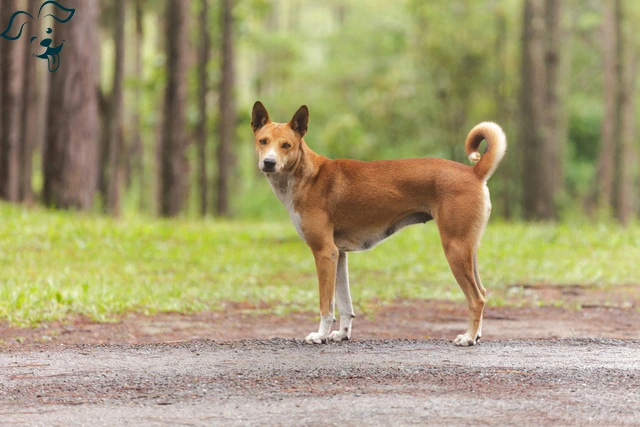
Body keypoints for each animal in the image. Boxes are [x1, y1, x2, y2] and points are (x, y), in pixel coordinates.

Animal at [250, 102, 504, 346]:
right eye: (263, 141)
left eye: (286, 145)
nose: (269, 162)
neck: (307, 176)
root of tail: (474, 172)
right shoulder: (338, 255)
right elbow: (345, 304)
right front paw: (342, 334)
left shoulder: (324, 253)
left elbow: (326, 305)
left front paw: (320, 335)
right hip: (468, 250)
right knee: (482, 292)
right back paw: (476, 335)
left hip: (455, 249)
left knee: (476, 298)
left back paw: (468, 338)